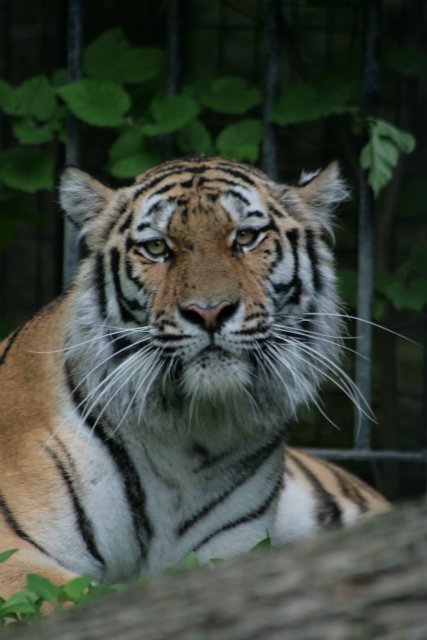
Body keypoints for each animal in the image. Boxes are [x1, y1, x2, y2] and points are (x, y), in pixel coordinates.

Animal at [0, 156, 390, 600]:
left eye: (246, 237)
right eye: (156, 247)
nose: (209, 311)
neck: (191, 433)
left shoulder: (227, 554)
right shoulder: (12, 550)